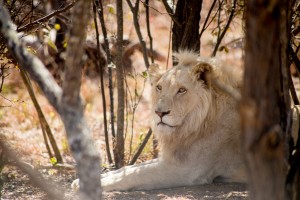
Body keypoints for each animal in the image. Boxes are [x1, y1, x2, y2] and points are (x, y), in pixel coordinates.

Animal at [72, 50, 246, 191]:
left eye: (182, 90)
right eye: (159, 88)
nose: (159, 113)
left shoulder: (187, 169)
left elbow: (136, 175)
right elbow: (129, 168)